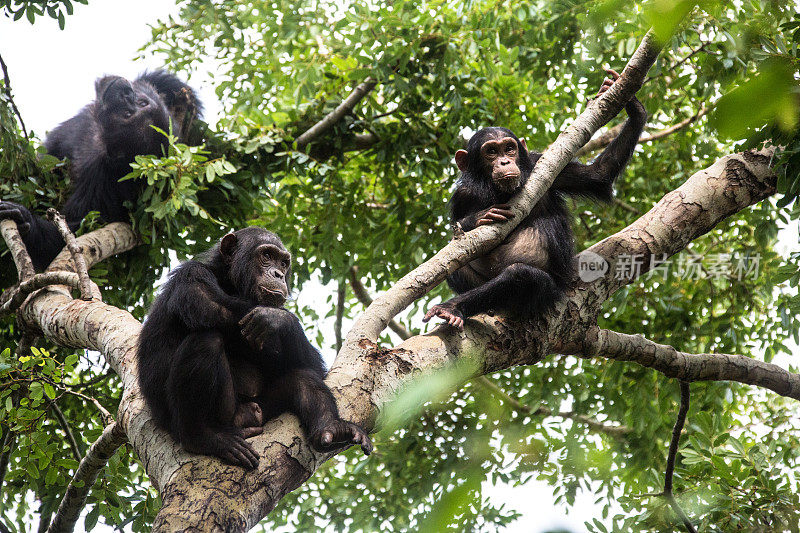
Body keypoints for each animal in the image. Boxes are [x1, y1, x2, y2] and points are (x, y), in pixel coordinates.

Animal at [0, 70, 200, 270]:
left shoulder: (103, 182)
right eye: (142, 103)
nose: (126, 94)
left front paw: (24, 219)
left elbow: (72, 230)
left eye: (128, 114)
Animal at [136, 227, 374, 468]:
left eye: (283, 263)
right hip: (221, 416)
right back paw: (204, 437)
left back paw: (332, 429)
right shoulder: (191, 276)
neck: (229, 282)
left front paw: (277, 319)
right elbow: (216, 306)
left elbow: (312, 364)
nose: (278, 274)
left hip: (264, 410)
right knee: (206, 340)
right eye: (267, 256)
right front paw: (280, 317)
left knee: (302, 377)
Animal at [422, 68, 648, 328]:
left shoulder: (547, 166)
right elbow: (457, 233)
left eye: (509, 148)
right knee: (455, 266)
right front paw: (479, 217)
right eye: (491, 151)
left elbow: (598, 174)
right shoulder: (463, 194)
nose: (504, 161)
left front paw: (633, 106)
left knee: (521, 275)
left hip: (546, 294)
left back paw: (453, 307)